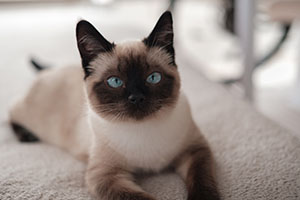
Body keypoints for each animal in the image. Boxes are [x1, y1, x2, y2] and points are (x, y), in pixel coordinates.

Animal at [9, 11, 220, 200]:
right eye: (115, 82)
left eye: (153, 78)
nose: (136, 98)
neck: (142, 130)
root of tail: (53, 68)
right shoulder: (106, 176)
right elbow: (140, 198)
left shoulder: (195, 150)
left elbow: (202, 182)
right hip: (33, 116)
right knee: (11, 112)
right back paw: (26, 136)